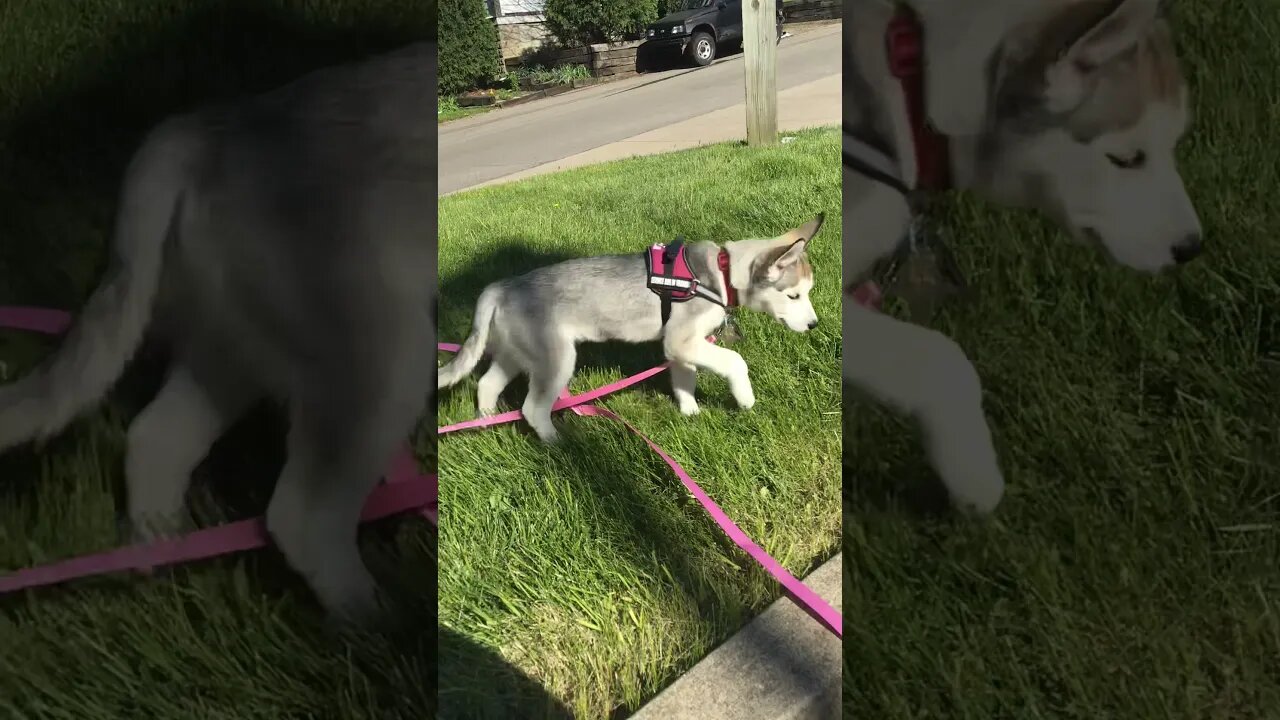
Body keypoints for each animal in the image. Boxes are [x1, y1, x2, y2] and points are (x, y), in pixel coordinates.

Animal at [0, 41, 437, 620]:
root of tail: (210, 127)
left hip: (241, 343)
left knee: (154, 439)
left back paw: (159, 572)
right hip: (380, 353)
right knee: (303, 517)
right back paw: (379, 623)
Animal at [435, 212, 824, 440]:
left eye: (809, 293)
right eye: (793, 296)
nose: (814, 325)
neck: (720, 273)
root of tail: (503, 286)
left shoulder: (680, 346)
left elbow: (684, 379)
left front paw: (690, 413)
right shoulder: (681, 340)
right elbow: (734, 361)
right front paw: (744, 398)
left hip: (517, 353)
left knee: (486, 384)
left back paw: (484, 423)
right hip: (555, 359)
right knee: (531, 409)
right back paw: (560, 445)